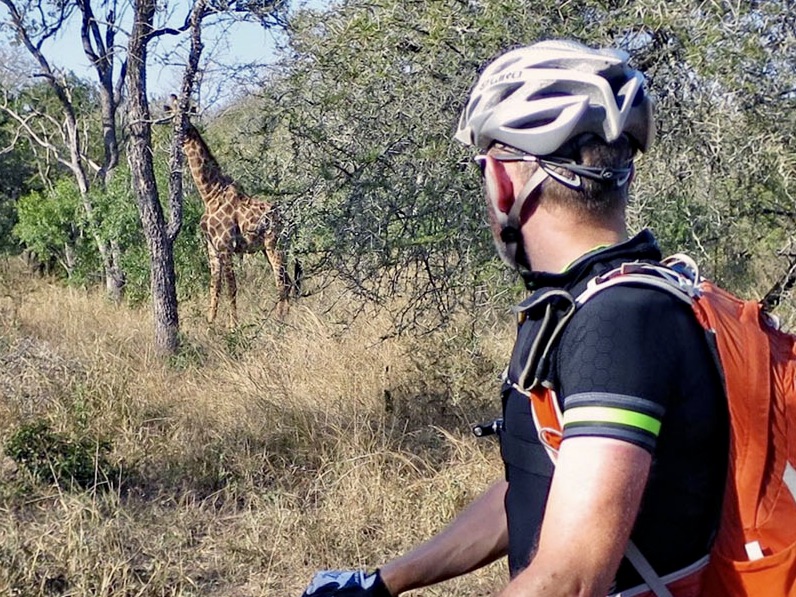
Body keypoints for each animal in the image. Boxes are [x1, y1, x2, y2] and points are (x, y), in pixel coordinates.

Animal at [166, 95, 298, 326]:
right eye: (172, 115)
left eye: (184, 115)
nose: (178, 134)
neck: (210, 194)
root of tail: (290, 220)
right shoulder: (212, 247)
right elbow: (215, 287)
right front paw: (211, 324)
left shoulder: (225, 245)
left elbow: (231, 287)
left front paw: (232, 326)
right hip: (269, 248)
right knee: (287, 281)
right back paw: (284, 318)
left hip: (275, 244)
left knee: (281, 281)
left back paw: (280, 321)